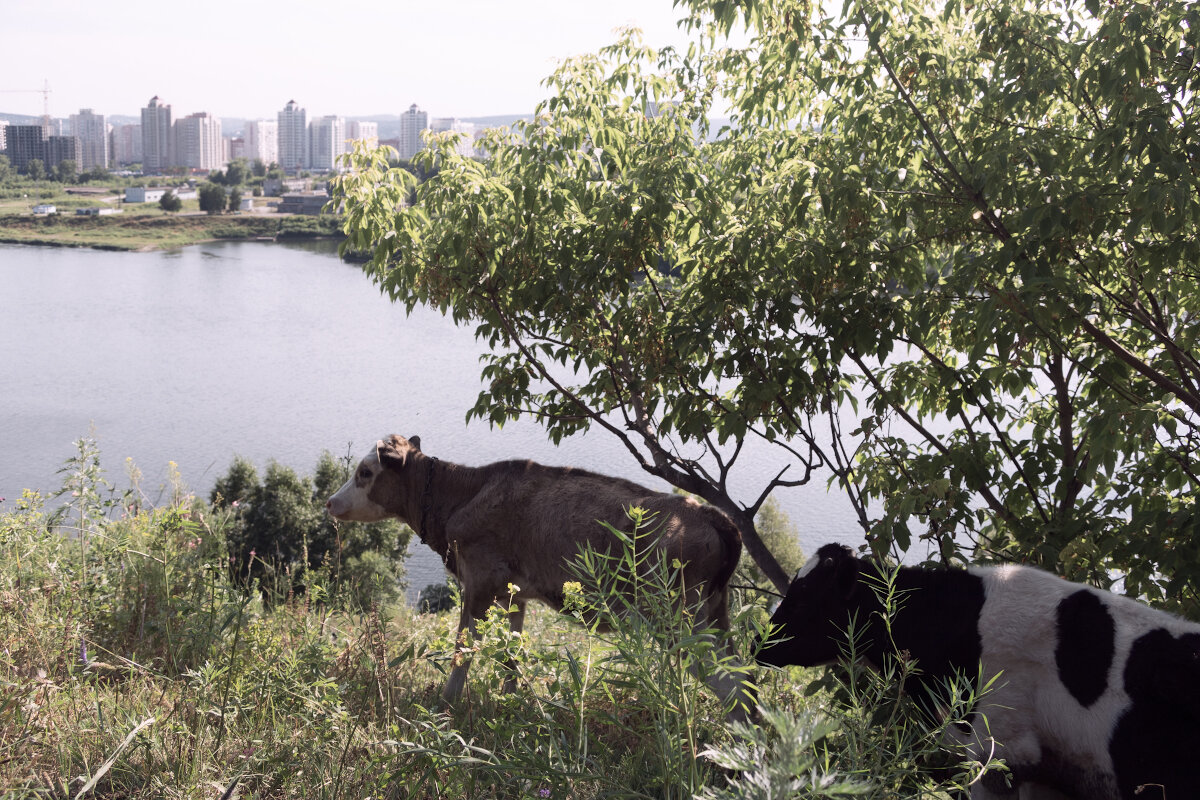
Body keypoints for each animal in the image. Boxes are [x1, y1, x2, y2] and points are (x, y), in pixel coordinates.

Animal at [326, 434, 748, 714]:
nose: (330, 502)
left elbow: (463, 650)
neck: (464, 496)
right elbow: (512, 653)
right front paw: (509, 703)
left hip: (675, 617)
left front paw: (443, 708)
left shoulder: (479, 583)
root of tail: (710, 513)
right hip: (714, 614)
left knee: (731, 686)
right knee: (745, 680)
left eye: (365, 472)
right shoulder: (514, 592)